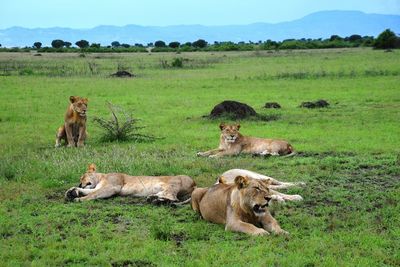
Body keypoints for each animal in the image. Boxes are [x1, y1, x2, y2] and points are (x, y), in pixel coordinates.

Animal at [65, 163, 196, 205]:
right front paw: (72, 191)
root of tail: (194, 183)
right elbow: (90, 191)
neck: (101, 177)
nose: (80, 183)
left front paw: (79, 199)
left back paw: (156, 201)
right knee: (169, 197)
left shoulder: (113, 187)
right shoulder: (100, 187)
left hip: (173, 183)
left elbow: (93, 194)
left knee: (173, 198)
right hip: (163, 189)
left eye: (82, 177)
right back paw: (153, 198)